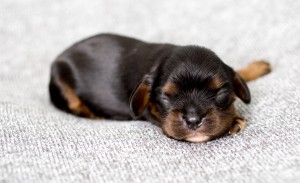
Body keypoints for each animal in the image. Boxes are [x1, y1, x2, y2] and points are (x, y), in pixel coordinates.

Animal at [49, 34, 272, 143]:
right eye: (167, 96)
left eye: (220, 92)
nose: (193, 120)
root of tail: (61, 55)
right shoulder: (147, 110)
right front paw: (234, 120)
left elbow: (238, 73)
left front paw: (257, 67)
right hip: (60, 82)